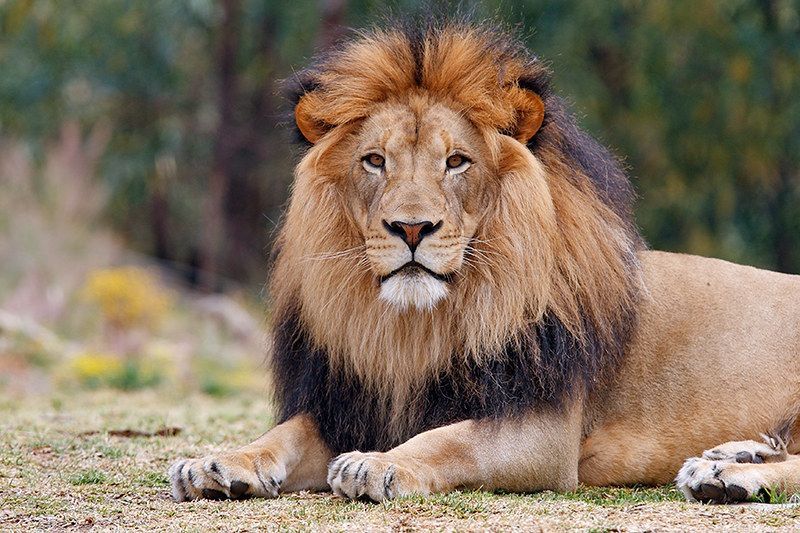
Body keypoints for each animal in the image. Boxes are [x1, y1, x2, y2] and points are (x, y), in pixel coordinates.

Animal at [168, 21, 800, 505]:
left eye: (456, 162)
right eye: (374, 161)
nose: (412, 228)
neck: (413, 331)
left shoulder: (543, 430)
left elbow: (452, 439)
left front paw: (378, 464)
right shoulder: (347, 403)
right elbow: (281, 434)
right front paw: (217, 463)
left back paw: (724, 475)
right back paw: (734, 452)